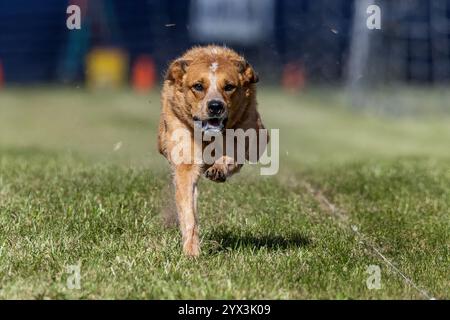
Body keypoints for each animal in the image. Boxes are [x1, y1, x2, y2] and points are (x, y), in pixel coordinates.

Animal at [157, 45, 266, 256]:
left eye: (229, 86)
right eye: (198, 86)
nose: (215, 106)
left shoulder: (250, 134)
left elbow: (234, 152)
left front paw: (218, 169)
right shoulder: (185, 158)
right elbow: (188, 210)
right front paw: (191, 251)